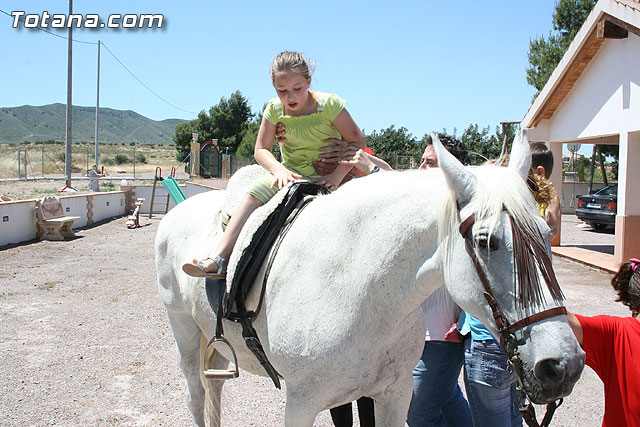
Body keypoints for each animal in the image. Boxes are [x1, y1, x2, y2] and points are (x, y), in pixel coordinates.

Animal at [155, 132, 585, 427]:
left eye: (546, 235)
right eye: (485, 241)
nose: (563, 365)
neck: (361, 291)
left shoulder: (395, 394)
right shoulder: (301, 403)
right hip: (184, 330)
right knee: (197, 395)